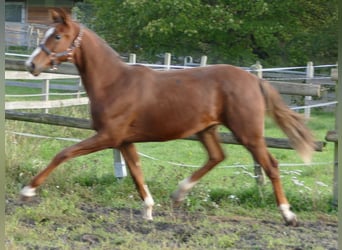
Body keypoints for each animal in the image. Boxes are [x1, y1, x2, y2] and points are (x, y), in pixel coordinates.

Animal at [22, 9, 316, 226]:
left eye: (58, 36)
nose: (31, 65)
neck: (114, 83)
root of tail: (254, 80)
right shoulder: (124, 141)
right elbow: (136, 172)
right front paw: (149, 210)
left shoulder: (108, 136)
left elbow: (63, 153)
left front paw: (28, 190)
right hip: (206, 129)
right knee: (217, 156)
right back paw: (179, 194)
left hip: (248, 132)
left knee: (271, 165)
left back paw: (288, 215)